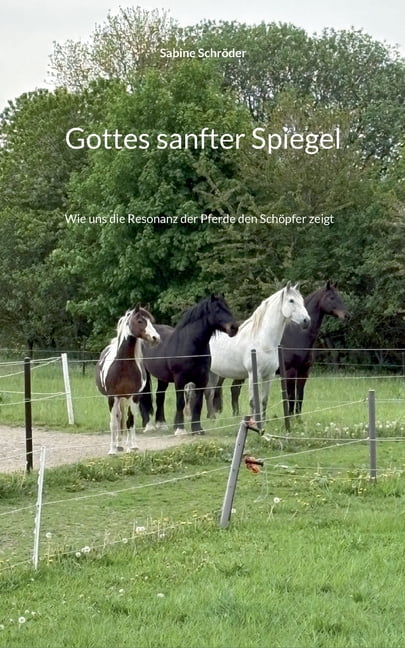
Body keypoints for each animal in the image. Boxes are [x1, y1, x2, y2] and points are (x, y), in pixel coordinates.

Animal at [95, 307, 160, 454]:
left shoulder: (134, 396)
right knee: (118, 417)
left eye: (151, 321)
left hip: (128, 399)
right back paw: (118, 445)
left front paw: (131, 448)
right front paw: (112, 450)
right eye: (140, 321)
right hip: (118, 399)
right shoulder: (112, 397)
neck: (123, 365)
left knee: (129, 419)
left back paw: (130, 444)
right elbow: (113, 423)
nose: (156, 338)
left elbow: (130, 421)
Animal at [138, 294, 238, 436]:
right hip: (144, 373)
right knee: (144, 396)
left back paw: (161, 424)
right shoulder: (180, 380)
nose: (234, 328)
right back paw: (148, 425)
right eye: (217, 310)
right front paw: (180, 429)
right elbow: (180, 403)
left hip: (162, 377)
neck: (190, 344)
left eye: (227, 308)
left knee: (160, 396)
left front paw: (197, 429)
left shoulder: (202, 380)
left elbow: (198, 403)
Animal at [208, 282, 310, 425]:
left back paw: (212, 420)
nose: (307, 321)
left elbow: (263, 400)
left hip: (213, 374)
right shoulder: (253, 375)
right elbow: (252, 401)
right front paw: (253, 423)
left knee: (209, 394)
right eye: (291, 300)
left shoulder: (269, 375)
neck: (262, 340)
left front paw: (263, 422)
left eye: (302, 300)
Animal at [214, 280, 348, 418]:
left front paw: (298, 419)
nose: (346, 315)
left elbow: (300, 396)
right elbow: (291, 396)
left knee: (234, 389)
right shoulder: (290, 371)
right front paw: (290, 417)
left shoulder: (303, 372)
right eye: (331, 297)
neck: (297, 335)